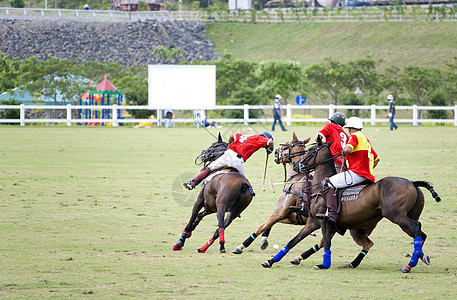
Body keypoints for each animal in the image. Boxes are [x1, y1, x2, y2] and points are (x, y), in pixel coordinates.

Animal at [262, 137, 440, 274]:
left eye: (311, 151)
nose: (296, 165)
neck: (317, 185)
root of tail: (413, 183)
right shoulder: (312, 222)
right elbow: (293, 241)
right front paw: (270, 261)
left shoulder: (323, 220)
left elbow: (326, 242)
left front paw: (323, 264)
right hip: (377, 224)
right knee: (418, 234)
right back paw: (417, 258)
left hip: (396, 215)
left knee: (416, 228)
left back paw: (410, 264)